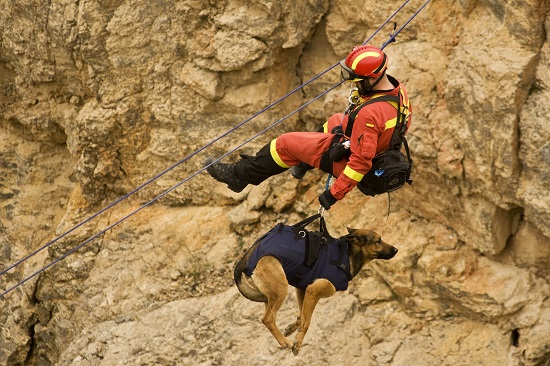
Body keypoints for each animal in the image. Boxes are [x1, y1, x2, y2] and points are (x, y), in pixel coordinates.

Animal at [235, 227, 398, 356]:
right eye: (378, 241)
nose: (396, 250)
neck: (347, 256)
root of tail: (248, 256)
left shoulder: (304, 290)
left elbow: (302, 316)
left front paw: (292, 328)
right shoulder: (313, 292)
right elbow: (307, 322)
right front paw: (297, 343)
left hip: (270, 294)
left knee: (271, 314)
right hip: (281, 289)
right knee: (268, 318)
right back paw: (284, 342)